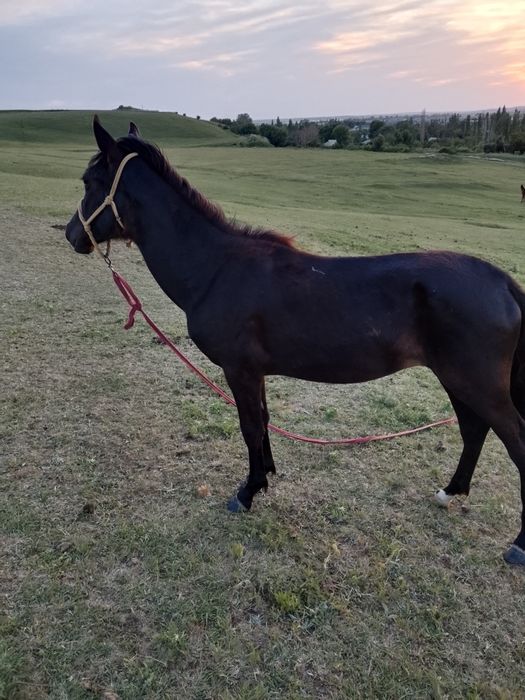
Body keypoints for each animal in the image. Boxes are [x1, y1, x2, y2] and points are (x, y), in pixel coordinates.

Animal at [66, 116, 525, 567]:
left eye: (89, 181)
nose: (71, 234)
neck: (217, 268)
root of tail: (502, 282)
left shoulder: (239, 370)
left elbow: (249, 426)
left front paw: (246, 493)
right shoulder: (255, 372)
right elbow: (263, 421)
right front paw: (266, 476)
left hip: (475, 382)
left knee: (512, 439)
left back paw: (517, 545)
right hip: (458, 380)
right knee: (473, 430)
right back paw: (451, 491)